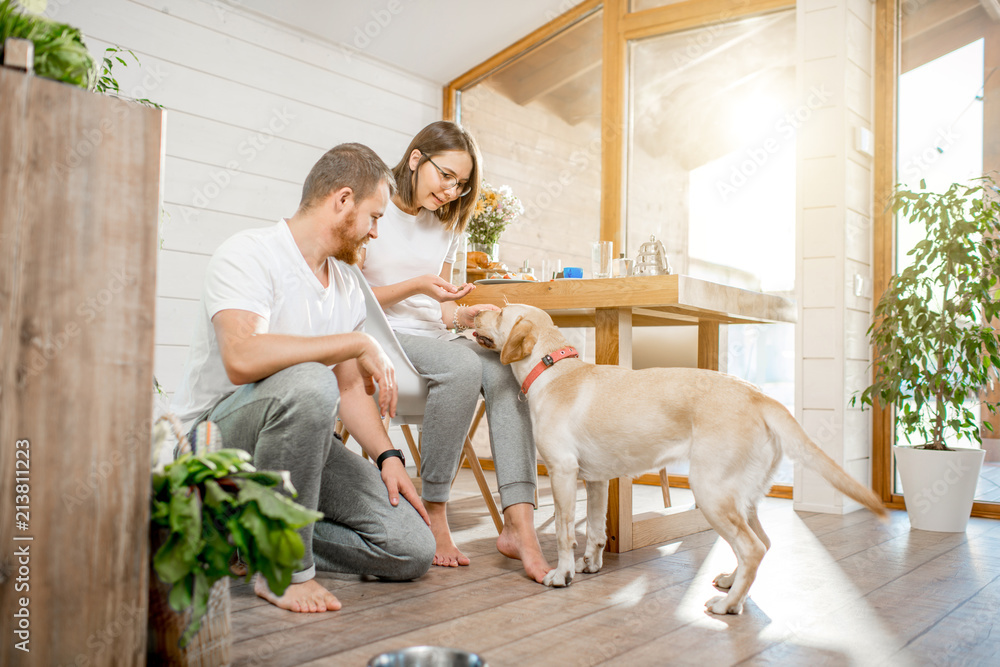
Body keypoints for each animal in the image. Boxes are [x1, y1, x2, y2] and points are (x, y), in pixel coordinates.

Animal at [472, 304, 888, 616]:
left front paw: (562, 575)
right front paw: (591, 563)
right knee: (762, 542)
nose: (474, 313)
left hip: (711, 493)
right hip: (742, 496)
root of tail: (758, 395)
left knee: (752, 547)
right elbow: (593, 529)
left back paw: (727, 604)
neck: (554, 368)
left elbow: (562, 533)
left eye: (500, 313)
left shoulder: (562, 472)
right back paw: (733, 584)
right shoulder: (596, 479)